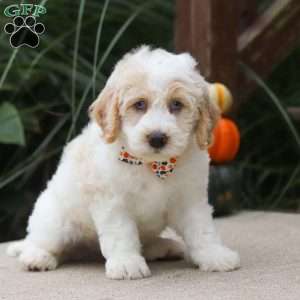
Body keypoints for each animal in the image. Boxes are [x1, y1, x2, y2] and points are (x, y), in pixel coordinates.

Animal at [7, 46, 240, 278]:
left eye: (176, 104)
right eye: (139, 104)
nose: (157, 138)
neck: (152, 165)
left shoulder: (190, 198)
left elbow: (202, 229)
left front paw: (215, 255)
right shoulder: (112, 201)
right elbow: (121, 232)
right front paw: (127, 263)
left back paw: (163, 247)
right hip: (55, 219)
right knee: (43, 241)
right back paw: (37, 257)